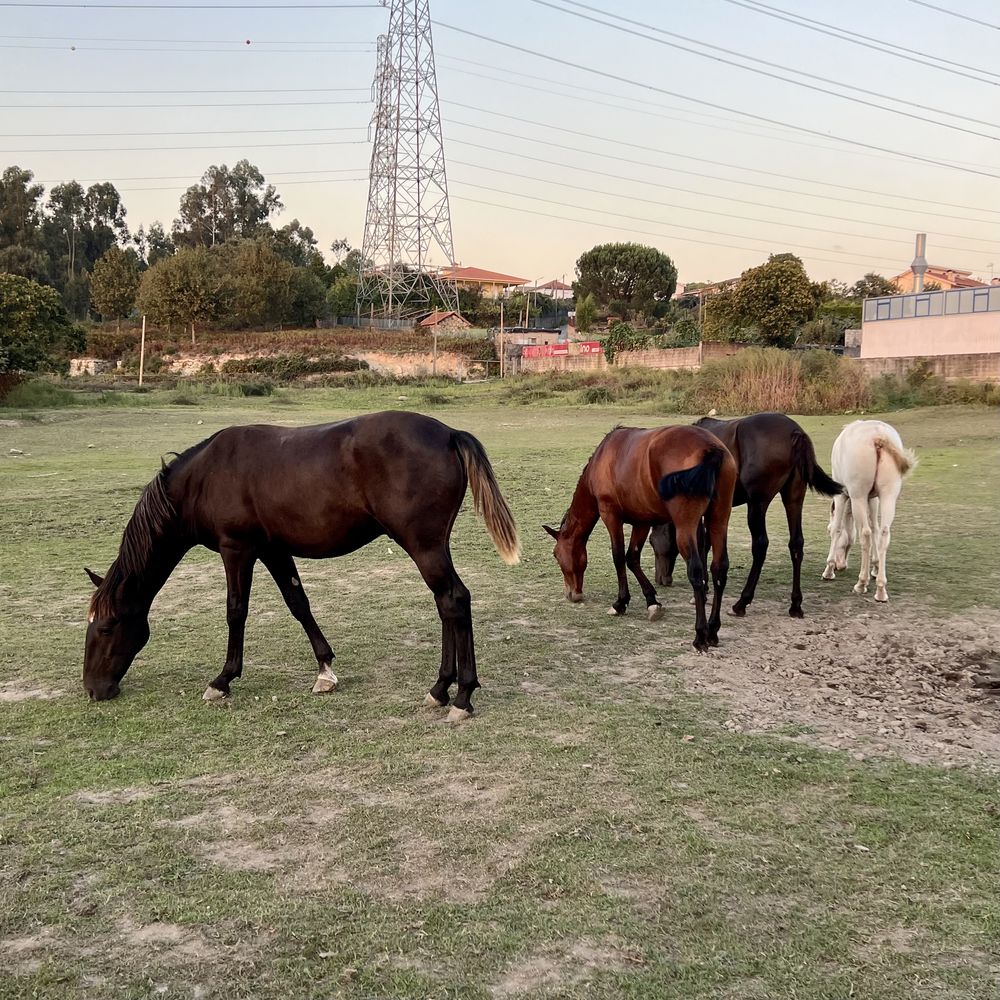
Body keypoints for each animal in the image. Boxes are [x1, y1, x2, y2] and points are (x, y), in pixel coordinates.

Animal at [82, 408, 520, 720]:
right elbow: (298, 603)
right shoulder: (274, 550)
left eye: (106, 627)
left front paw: (223, 680)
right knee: (446, 604)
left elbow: (235, 611)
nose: (93, 688)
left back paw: (461, 697)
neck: (203, 478)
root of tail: (448, 434)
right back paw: (440, 690)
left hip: (424, 546)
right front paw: (325, 670)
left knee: (454, 600)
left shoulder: (237, 549)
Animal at [544, 424, 740, 652]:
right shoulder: (642, 522)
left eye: (556, 555)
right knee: (719, 568)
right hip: (718, 519)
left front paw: (620, 603)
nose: (571, 594)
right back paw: (714, 629)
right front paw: (652, 601)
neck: (604, 457)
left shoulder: (610, 515)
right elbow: (632, 558)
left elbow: (619, 557)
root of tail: (710, 448)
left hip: (686, 525)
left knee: (696, 570)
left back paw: (700, 634)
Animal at [652, 412, 840, 616]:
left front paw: (703, 589)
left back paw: (742, 602)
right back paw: (795, 604)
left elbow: (702, 544)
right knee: (796, 543)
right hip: (793, 498)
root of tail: (794, 432)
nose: (662, 579)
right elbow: (708, 543)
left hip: (757, 504)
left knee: (760, 545)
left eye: (652, 542)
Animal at [820, 420, 916, 600]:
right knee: (883, 533)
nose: (840, 566)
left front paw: (829, 570)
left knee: (865, 534)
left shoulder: (842, 496)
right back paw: (881, 590)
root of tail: (877, 436)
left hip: (858, 496)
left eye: (826, 531)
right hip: (888, 495)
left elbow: (838, 529)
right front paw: (876, 567)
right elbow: (876, 529)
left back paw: (861, 583)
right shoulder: (872, 499)